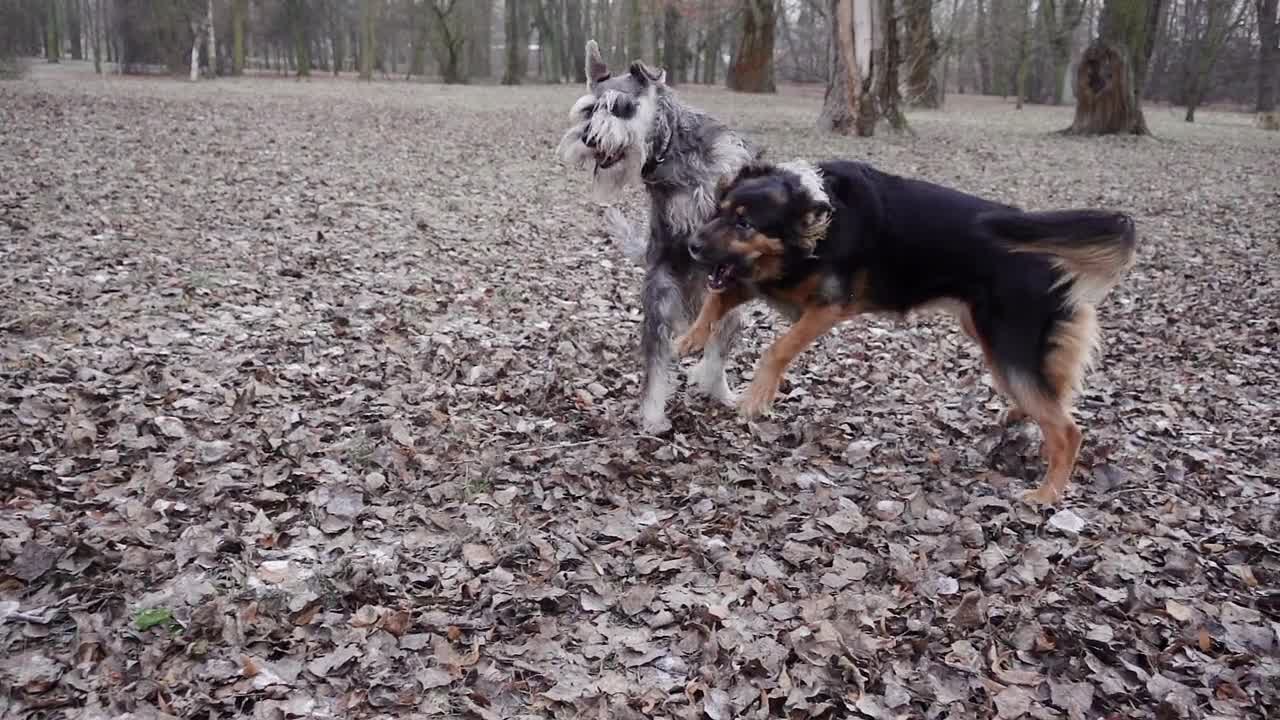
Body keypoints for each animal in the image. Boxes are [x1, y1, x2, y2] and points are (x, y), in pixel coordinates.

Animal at [555, 40, 752, 430]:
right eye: (588, 110)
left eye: (621, 107)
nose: (588, 138)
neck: (669, 150)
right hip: (661, 298)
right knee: (659, 360)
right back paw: (652, 415)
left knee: (718, 347)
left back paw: (718, 389)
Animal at [675, 158, 1136, 502]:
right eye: (719, 212)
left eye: (745, 225)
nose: (691, 247)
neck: (817, 217)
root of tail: (1050, 257)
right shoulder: (761, 279)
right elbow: (715, 300)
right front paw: (689, 339)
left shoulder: (828, 307)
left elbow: (778, 348)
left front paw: (757, 398)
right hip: (987, 333)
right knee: (1055, 389)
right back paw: (1021, 416)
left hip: (1007, 345)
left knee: (1067, 430)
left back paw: (1046, 495)